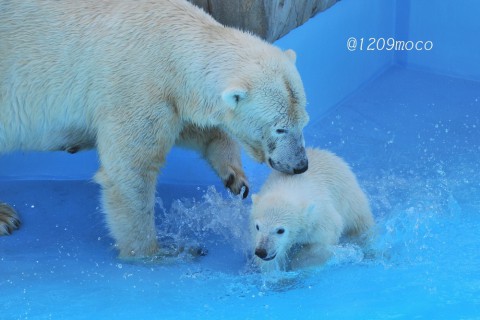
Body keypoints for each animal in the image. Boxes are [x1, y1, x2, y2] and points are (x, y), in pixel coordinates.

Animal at [0, 0, 310, 256]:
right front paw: (158, 252)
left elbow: (197, 130)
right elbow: (131, 171)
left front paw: (235, 177)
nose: (300, 166)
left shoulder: (171, 96)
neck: (171, 41)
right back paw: (6, 216)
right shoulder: (137, 85)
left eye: (303, 122)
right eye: (280, 129)